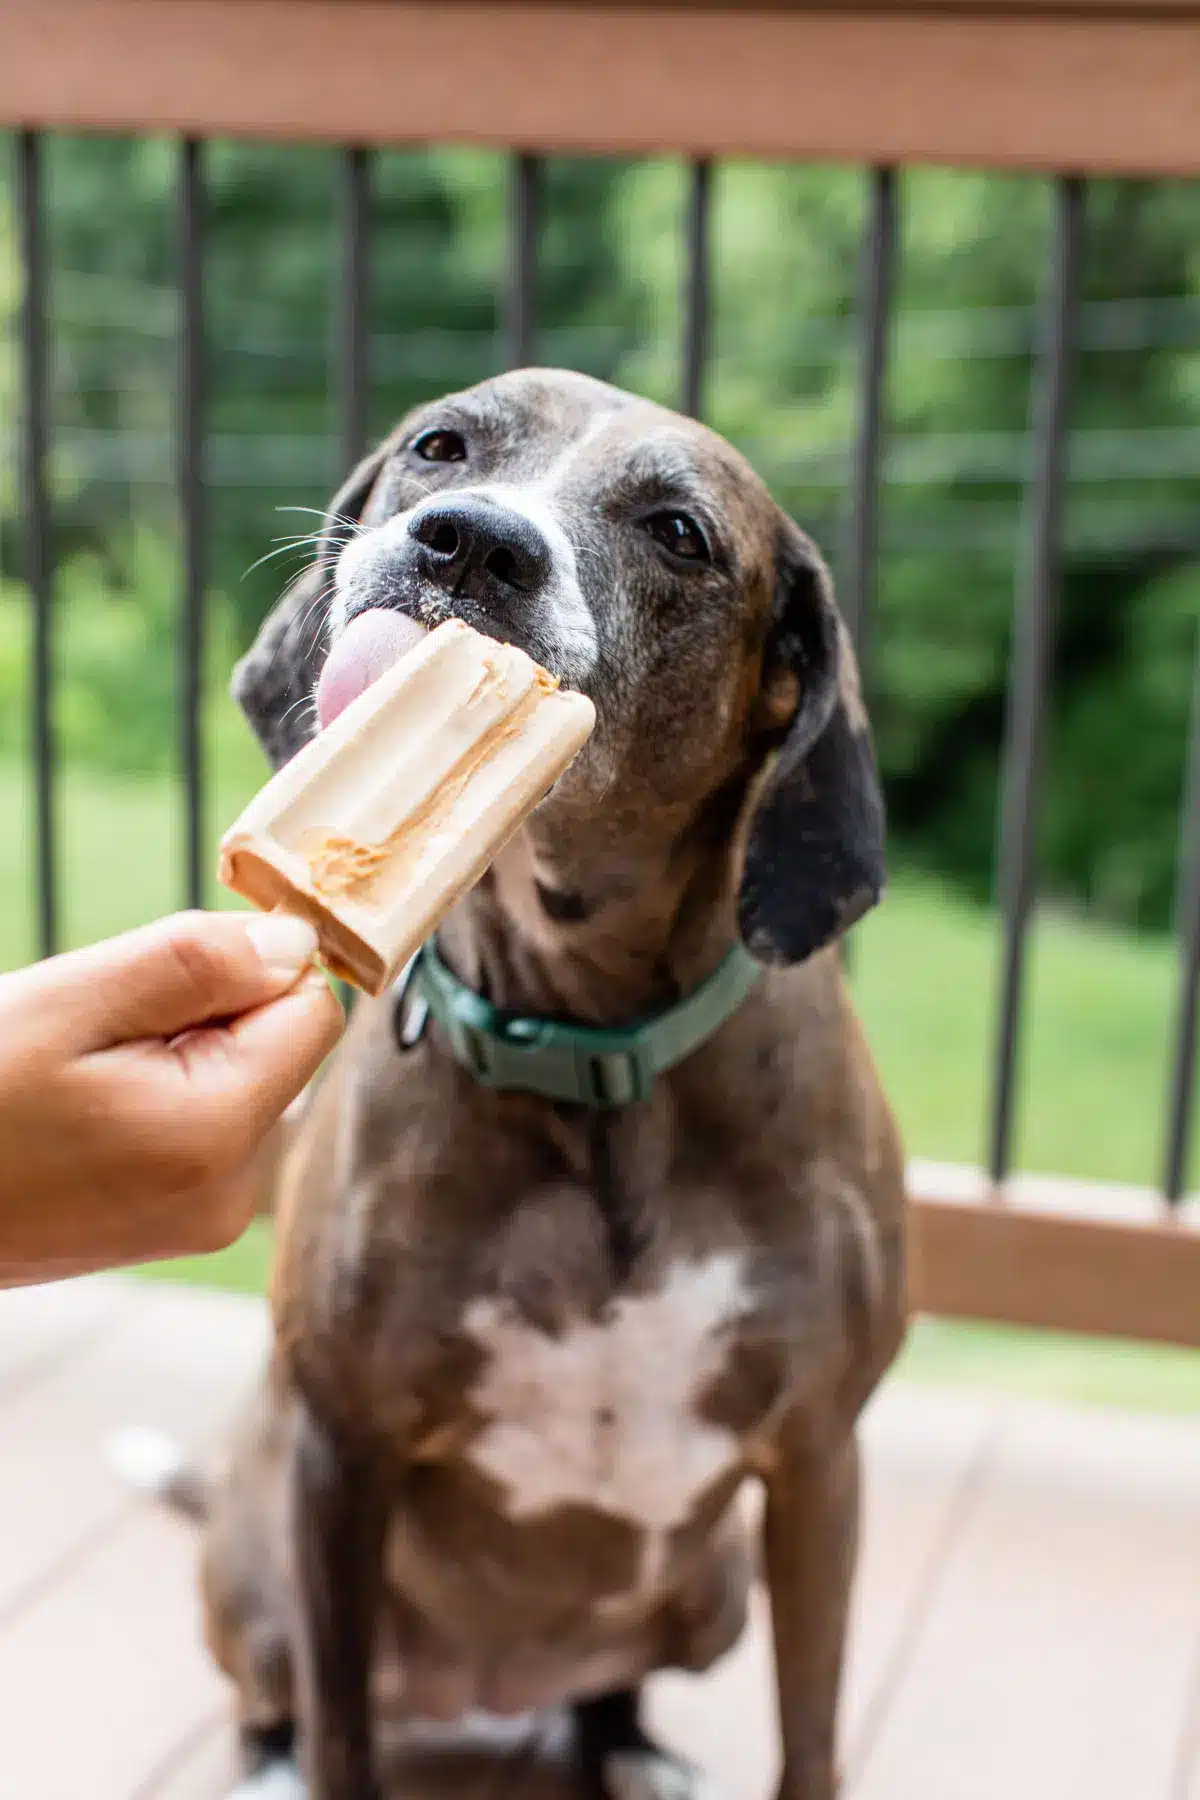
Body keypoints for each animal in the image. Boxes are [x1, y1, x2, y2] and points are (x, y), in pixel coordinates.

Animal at [192, 369, 906, 1800]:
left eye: (680, 533)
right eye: (441, 445)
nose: (471, 542)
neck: (593, 1052)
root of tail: (490, 1690)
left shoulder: (818, 1464)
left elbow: (812, 1732)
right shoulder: (341, 1446)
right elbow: (342, 1731)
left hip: (718, 1593)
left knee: (607, 1690)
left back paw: (625, 1745)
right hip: (253, 1565)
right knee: (280, 1696)